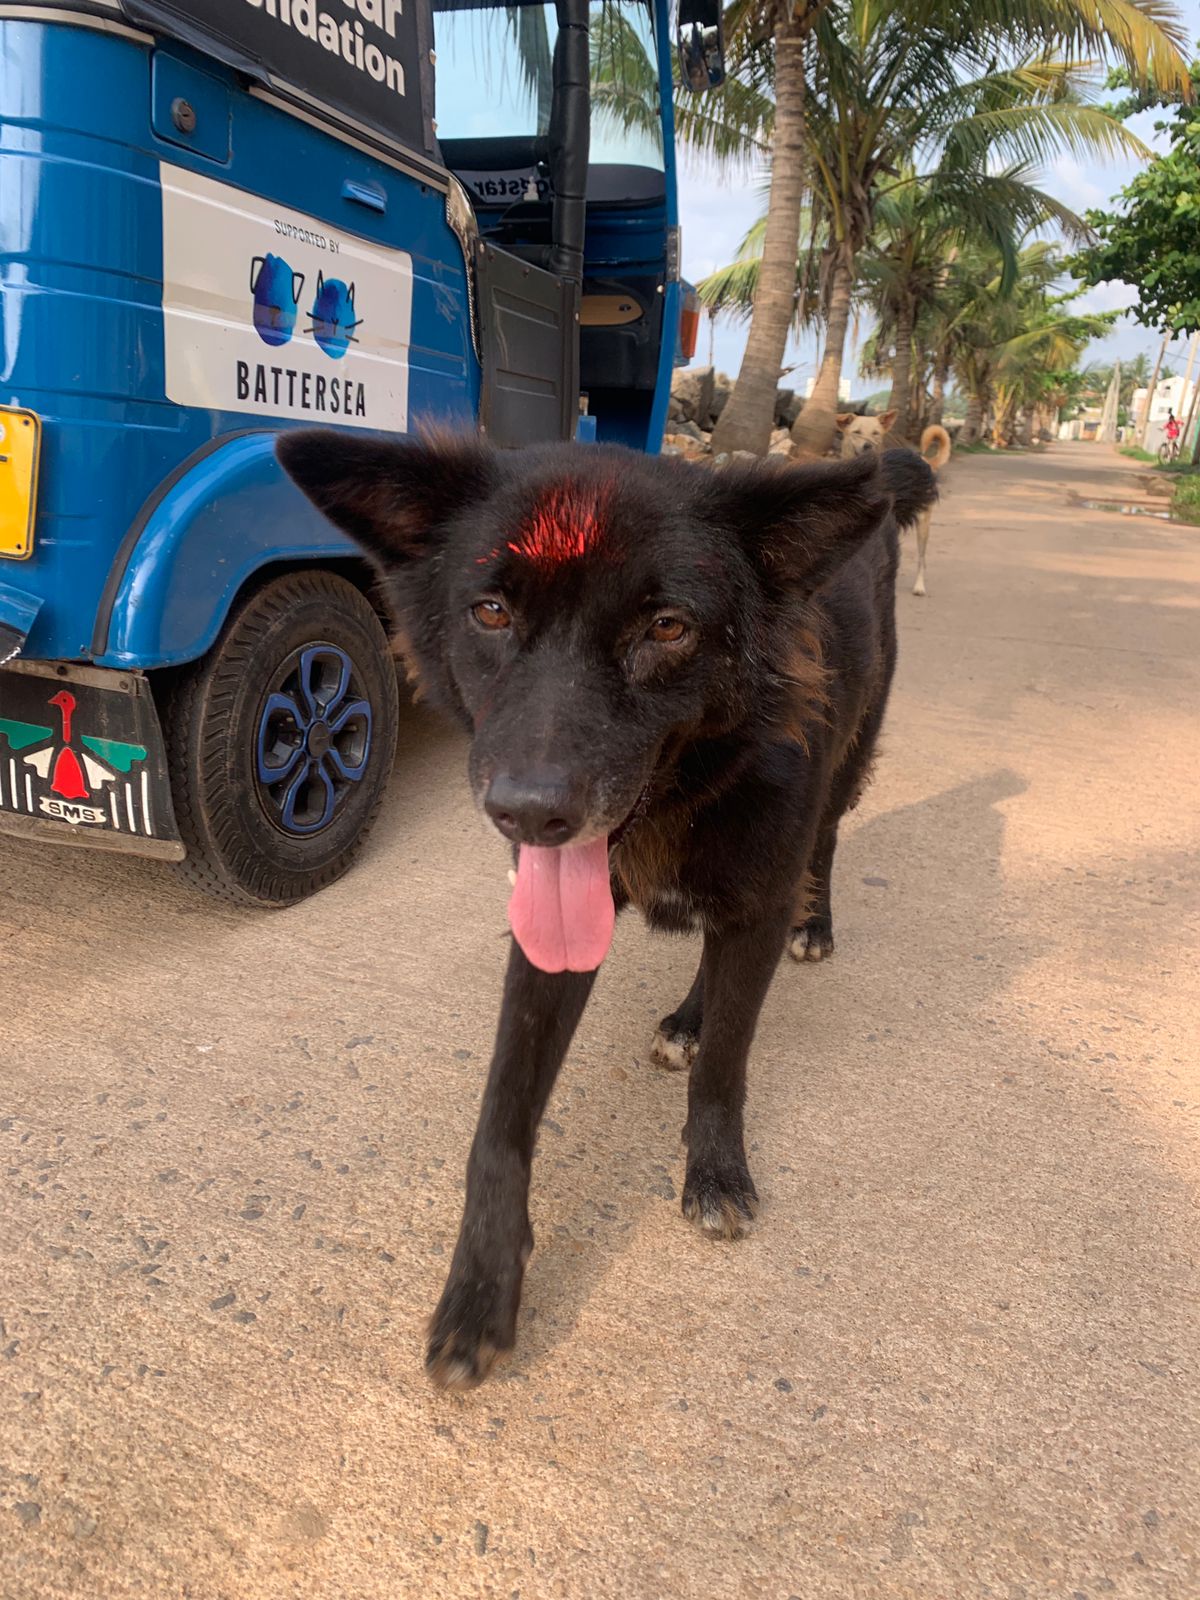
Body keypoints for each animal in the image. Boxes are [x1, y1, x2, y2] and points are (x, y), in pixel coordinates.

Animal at [276, 435, 934, 1388]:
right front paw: (480, 1291)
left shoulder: (757, 898)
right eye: (489, 611)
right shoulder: (549, 936)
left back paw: (814, 927)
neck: (682, 798)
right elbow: (502, 1119)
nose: (527, 813)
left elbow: (727, 1062)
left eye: (667, 628)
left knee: (825, 845)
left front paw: (715, 1169)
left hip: (845, 765)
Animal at [838, 409, 953, 598]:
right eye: (856, 432)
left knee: (921, 559)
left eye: (876, 433)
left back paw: (919, 586)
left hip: (923, 523)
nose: (868, 447)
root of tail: (923, 459)